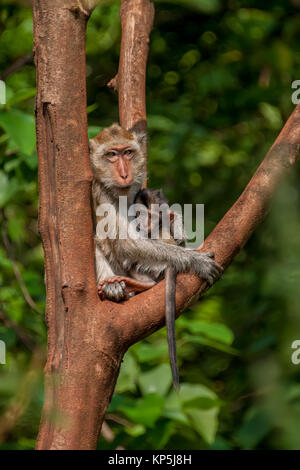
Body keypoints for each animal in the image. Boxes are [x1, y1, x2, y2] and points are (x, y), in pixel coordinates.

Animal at [89, 123, 223, 388]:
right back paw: (118, 286)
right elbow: (123, 241)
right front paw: (196, 261)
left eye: (128, 153)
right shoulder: (101, 193)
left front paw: (177, 227)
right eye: (112, 155)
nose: (124, 173)